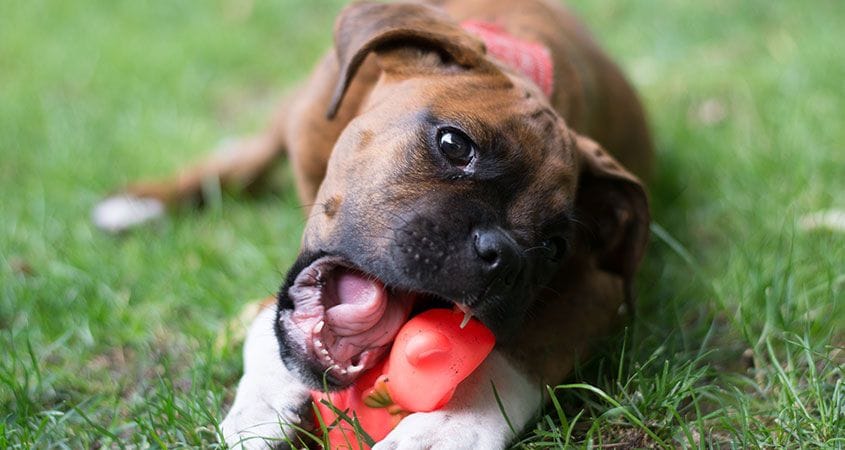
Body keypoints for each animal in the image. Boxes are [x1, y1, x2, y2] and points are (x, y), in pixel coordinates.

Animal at [92, 1, 648, 448]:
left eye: (554, 247)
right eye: (454, 144)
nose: (503, 255)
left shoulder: (597, 290)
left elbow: (515, 358)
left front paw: (447, 427)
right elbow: (266, 322)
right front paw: (263, 400)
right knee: (245, 159)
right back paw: (139, 203)